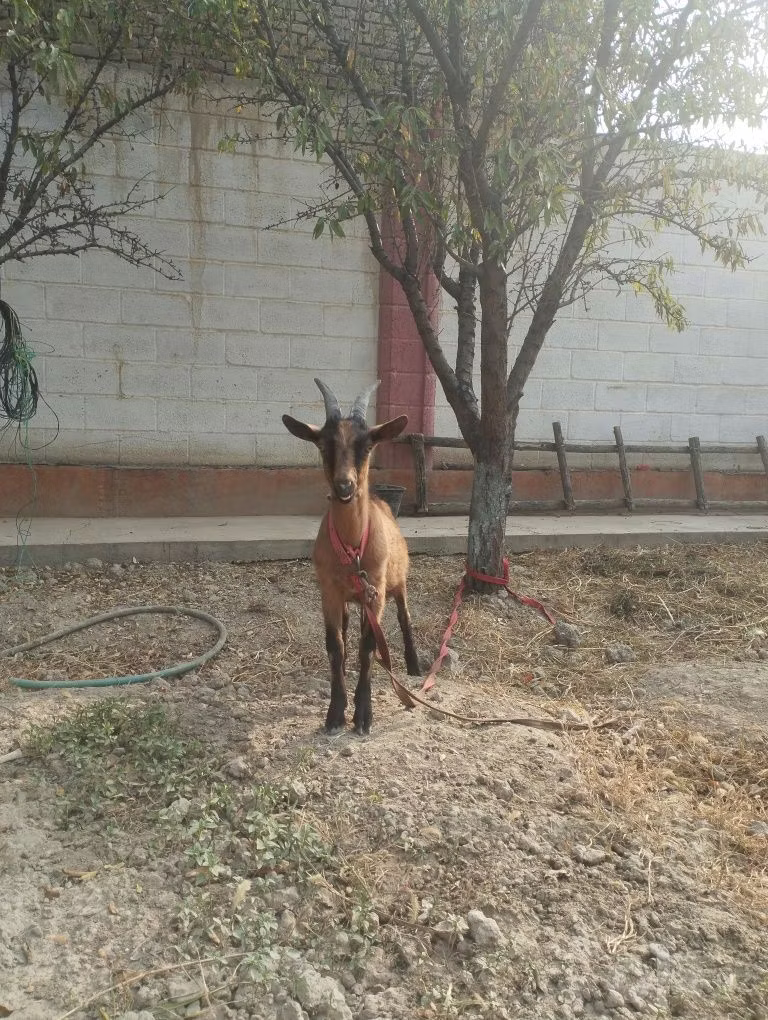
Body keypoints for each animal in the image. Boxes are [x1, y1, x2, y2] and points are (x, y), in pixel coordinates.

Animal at [282, 378, 422, 735]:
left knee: (404, 618)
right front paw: (335, 713)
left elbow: (369, 647)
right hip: (353, 597)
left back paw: (415, 666)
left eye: (367, 445)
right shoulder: (329, 591)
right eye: (322, 444)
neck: (352, 549)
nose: (345, 486)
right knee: (348, 632)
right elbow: (336, 645)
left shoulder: (377, 591)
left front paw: (363, 715)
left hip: (396, 583)